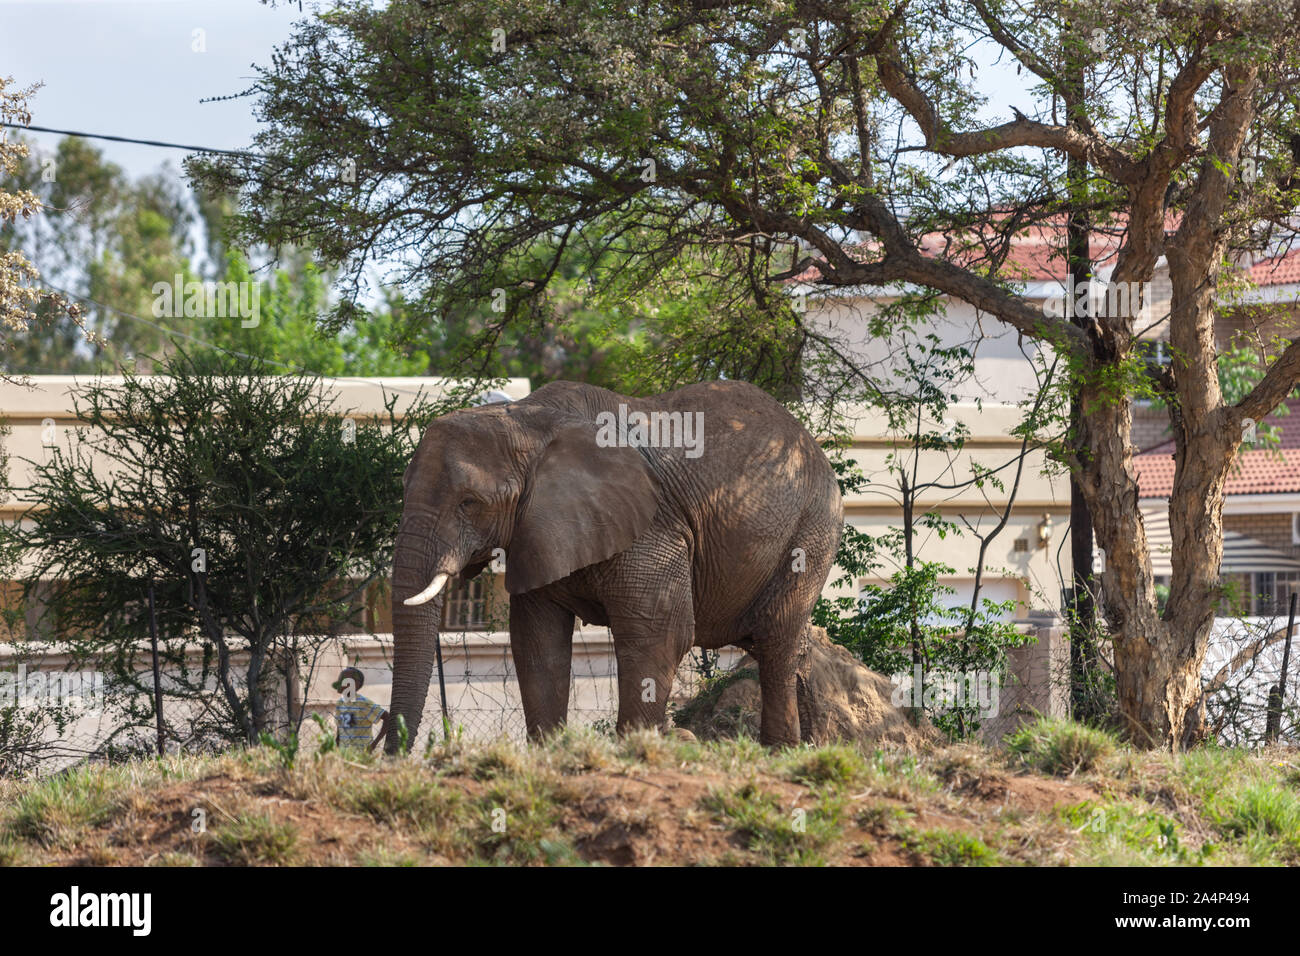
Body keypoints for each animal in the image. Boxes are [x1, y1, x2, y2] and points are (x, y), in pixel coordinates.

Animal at [387, 377, 842, 749]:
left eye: (470, 503)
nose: (393, 754)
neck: (527, 421)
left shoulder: (653, 526)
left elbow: (659, 632)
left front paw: (638, 748)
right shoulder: (536, 529)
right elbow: (537, 641)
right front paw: (551, 753)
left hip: (813, 529)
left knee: (776, 641)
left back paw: (779, 751)